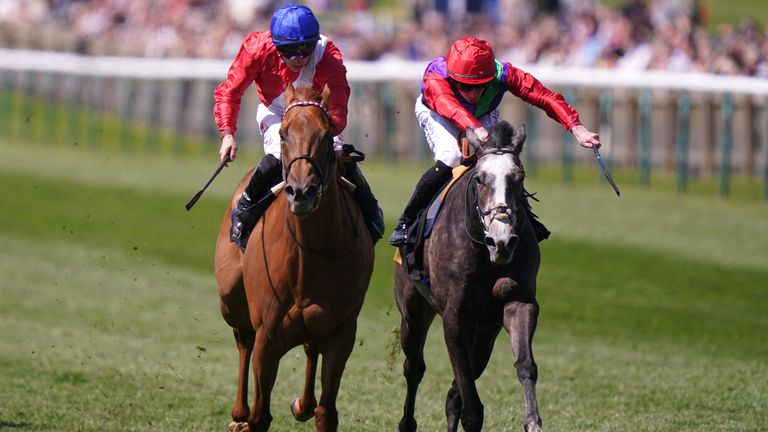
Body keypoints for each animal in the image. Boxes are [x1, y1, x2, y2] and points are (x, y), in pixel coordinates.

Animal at [214, 85, 374, 432]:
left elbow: (326, 413)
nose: (302, 192)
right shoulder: (268, 337)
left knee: (311, 348)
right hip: (231, 299)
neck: (307, 256)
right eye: (283, 134)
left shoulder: (342, 333)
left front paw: (308, 406)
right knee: (242, 339)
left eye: (327, 136)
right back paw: (239, 413)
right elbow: (260, 416)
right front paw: (247, 418)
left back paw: (302, 403)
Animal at [396, 122, 540, 432]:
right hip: (413, 312)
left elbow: (525, 365)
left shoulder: (518, 303)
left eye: (519, 177)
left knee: (454, 393)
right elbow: (471, 406)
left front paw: (533, 421)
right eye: (479, 179)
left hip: (484, 333)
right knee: (414, 368)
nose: (502, 241)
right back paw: (407, 422)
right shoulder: (454, 317)